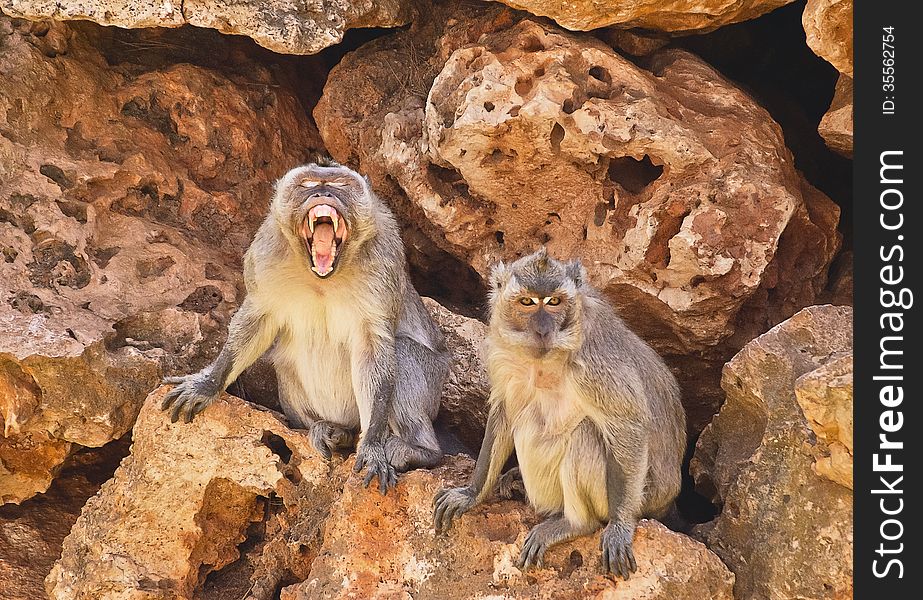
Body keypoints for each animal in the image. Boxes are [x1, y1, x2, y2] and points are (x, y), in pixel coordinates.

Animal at [162, 161, 452, 492]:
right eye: (308, 184)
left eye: (339, 184)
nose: (323, 193)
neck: (322, 278)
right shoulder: (265, 255)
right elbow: (256, 321)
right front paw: (207, 384)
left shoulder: (385, 258)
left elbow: (374, 345)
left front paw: (372, 447)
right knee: (286, 364)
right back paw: (335, 432)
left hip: (434, 383)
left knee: (402, 351)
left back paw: (418, 450)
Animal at [434, 247, 684, 576]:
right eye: (528, 302)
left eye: (554, 302)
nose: (542, 330)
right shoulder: (502, 356)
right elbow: (504, 412)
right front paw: (472, 493)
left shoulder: (593, 363)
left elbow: (627, 425)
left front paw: (620, 527)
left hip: (637, 498)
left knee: (584, 434)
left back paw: (576, 524)